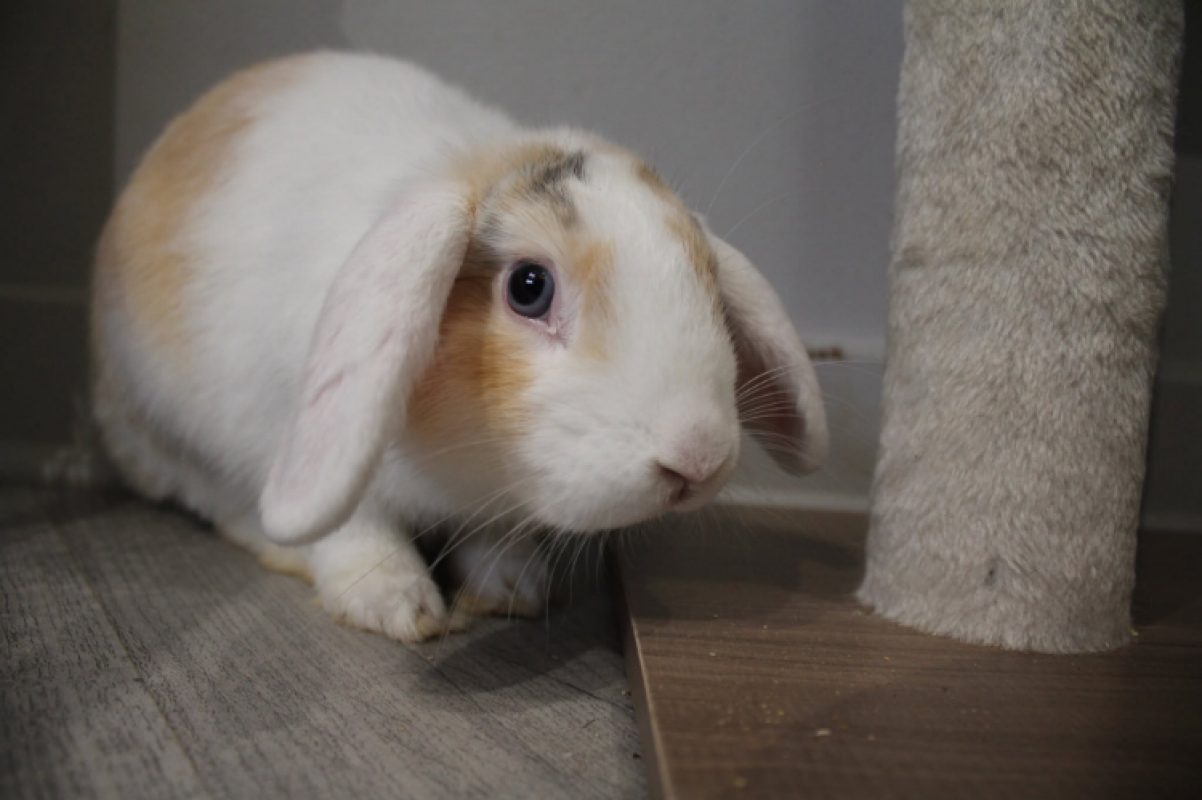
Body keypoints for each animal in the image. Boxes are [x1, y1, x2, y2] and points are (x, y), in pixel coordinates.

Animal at [90, 51, 828, 642]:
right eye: (528, 288)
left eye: (705, 272)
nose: (698, 460)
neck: (471, 461)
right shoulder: (295, 439)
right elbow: (356, 530)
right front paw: (396, 606)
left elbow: (491, 538)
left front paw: (512, 588)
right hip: (165, 430)